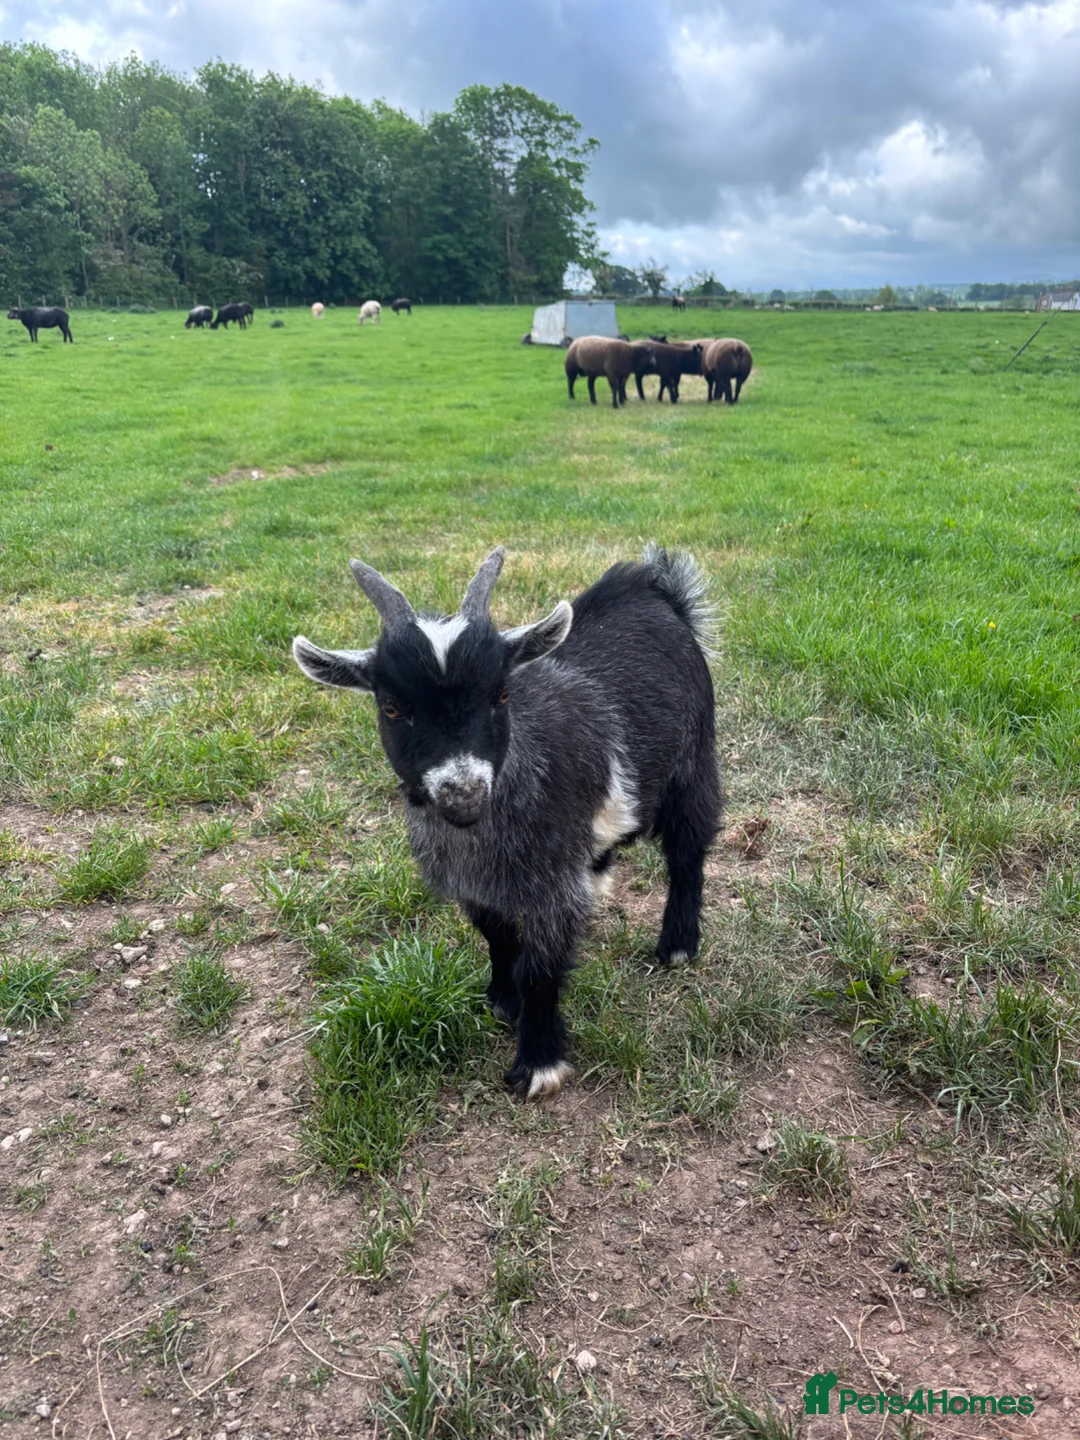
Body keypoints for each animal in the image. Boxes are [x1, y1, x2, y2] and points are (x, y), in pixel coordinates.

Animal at [293, 546, 721, 1099]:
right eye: (391, 708)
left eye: (500, 694)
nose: (464, 793)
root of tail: (654, 589)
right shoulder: (475, 884)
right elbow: (495, 935)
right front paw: (502, 997)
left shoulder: (551, 888)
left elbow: (542, 969)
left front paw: (538, 1063)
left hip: (694, 762)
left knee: (689, 851)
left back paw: (678, 945)